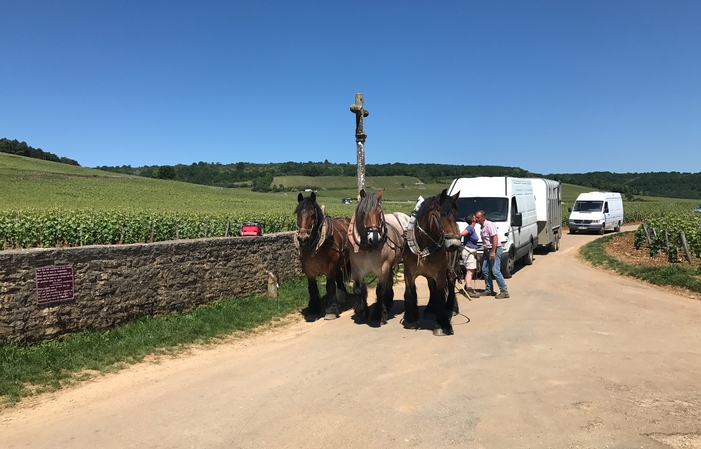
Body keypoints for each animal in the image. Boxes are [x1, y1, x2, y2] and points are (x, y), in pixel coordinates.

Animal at [294, 191, 350, 320]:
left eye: (313, 214)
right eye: (298, 213)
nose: (303, 238)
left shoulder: (330, 267)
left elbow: (330, 286)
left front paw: (331, 310)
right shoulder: (308, 270)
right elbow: (312, 288)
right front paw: (313, 310)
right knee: (339, 276)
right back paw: (342, 296)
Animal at [346, 188, 408, 322]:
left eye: (379, 213)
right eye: (363, 212)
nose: (374, 239)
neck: (368, 248)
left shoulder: (383, 267)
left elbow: (380, 290)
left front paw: (378, 314)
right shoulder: (356, 268)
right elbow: (358, 289)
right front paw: (362, 312)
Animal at [402, 187, 462, 334]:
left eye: (456, 214)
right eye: (443, 214)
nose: (454, 245)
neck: (422, 247)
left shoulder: (440, 273)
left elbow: (440, 295)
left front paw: (442, 324)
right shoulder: (408, 272)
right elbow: (410, 293)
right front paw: (411, 320)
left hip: (451, 269)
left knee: (451, 284)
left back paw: (450, 307)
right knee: (431, 287)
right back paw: (430, 309)